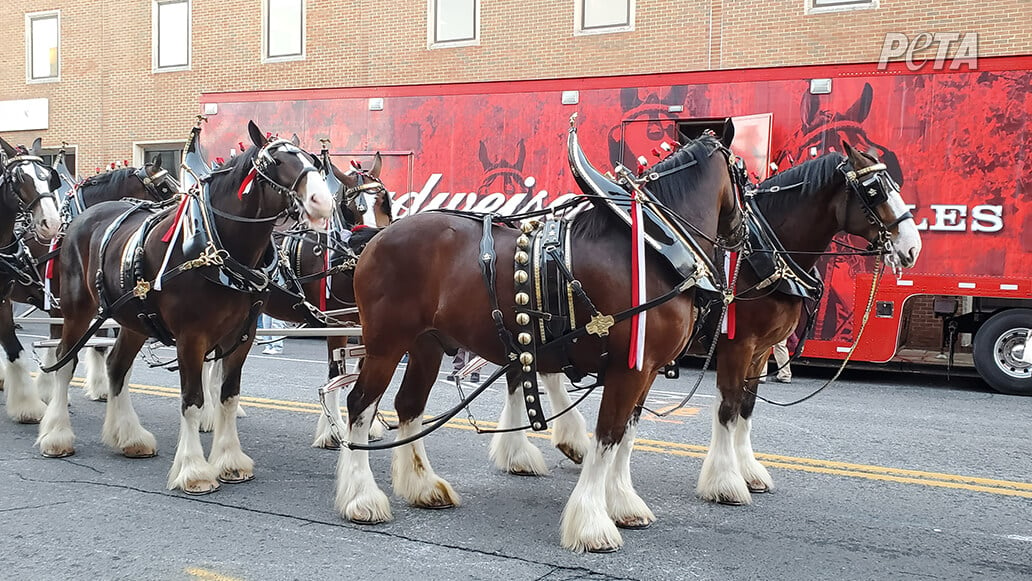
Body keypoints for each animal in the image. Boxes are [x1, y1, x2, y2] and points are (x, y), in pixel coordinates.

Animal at [36, 122, 330, 495]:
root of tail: (79, 221)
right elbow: (193, 401)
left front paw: (229, 461)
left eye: (312, 160)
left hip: (134, 319)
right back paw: (57, 435)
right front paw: (194, 470)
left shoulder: (242, 336)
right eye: (274, 163)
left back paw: (128, 437)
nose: (323, 201)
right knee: (64, 361)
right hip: (76, 309)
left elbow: (228, 397)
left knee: (117, 366)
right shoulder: (192, 338)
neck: (217, 248)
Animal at [334, 123, 747, 553]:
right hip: (385, 344)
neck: (652, 243)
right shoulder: (628, 369)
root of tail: (375, 239)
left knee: (408, 405)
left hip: (425, 346)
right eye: (745, 174)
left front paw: (622, 503)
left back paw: (423, 486)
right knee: (360, 405)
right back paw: (361, 498)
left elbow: (627, 436)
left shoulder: (645, 370)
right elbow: (608, 435)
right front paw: (592, 523)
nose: (742, 235)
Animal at [697, 143, 924, 507]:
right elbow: (728, 408)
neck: (760, 253)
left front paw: (748, 473)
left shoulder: (759, 351)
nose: (912, 247)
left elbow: (746, 407)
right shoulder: (737, 345)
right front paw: (725, 482)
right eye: (874, 190)